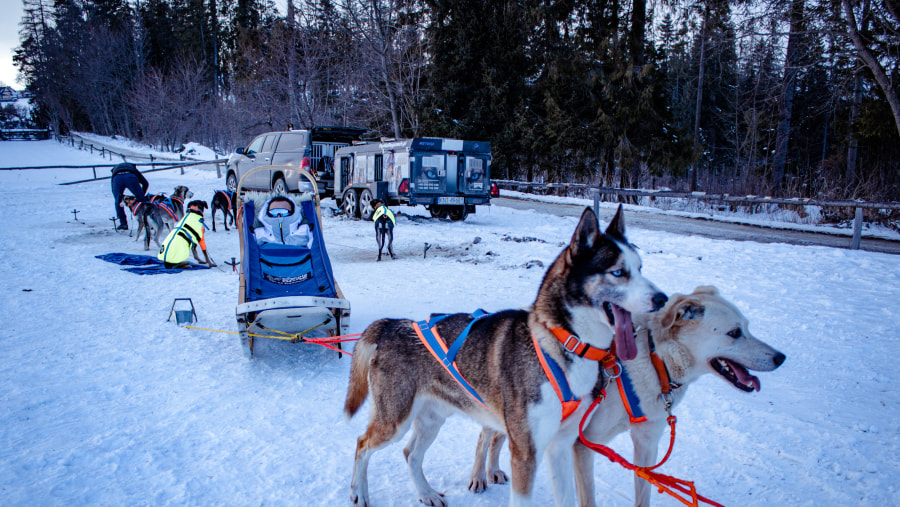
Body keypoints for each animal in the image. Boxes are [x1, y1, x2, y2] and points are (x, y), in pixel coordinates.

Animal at [344, 206, 668, 507]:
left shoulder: (560, 446)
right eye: (618, 272)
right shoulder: (525, 452)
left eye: (641, 268)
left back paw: (426, 493)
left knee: (410, 453)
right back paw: (359, 492)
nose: (662, 298)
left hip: (433, 419)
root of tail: (392, 324)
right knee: (362, 443)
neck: (564, 342)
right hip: (394, 421)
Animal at [468, 286, 784, 507]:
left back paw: (494, 470)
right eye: (734, 333)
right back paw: (479, 477)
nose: (781, 357)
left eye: (748, 326)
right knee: (485, 437)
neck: (655, 358)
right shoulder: (583, 445)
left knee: (497, 437)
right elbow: (588, 499)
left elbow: (643, 495)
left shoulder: (646, 446)